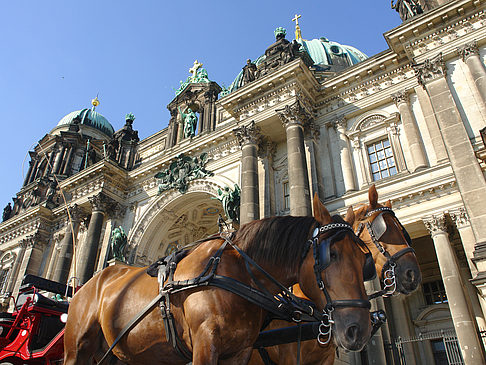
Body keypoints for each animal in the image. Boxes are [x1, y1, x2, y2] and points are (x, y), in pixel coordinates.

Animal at [61, 196, 372, 364]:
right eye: (330, 255)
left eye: (364, 260)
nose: (358, 329)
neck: (239, 273)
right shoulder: (204, 344)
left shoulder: (240, 352)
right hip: (76, 350)